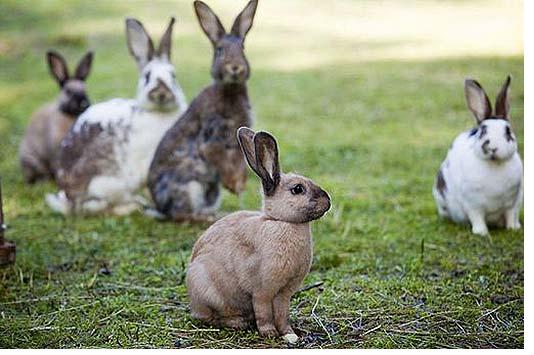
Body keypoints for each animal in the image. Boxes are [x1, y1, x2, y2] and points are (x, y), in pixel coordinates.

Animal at [46, 18, 188, 216]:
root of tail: (68, 199)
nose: (161, 93)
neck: (159, 113)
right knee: (98, 207)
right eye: (147, 77)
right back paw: (132, 206)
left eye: (173, 76)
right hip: (106, 185)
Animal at [149, 0, 260, 222]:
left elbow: (240, 163)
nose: (235, 67)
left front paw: (239, 185)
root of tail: (160, 208)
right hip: (189, 188)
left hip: (211, 191)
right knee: (181, 215)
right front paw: (233, 185)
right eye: (220, 50)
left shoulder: (238, 143)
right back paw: (208, 218)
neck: (230, 90)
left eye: (243, 48)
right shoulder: (212, 138)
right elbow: (216, 156)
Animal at [187, 127, 330, 342]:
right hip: (208, 291)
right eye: (298, 189)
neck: (281, 222)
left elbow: (282, 314)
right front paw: (269, 333)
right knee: (212, 317)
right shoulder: (262, 291)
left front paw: (289, 333)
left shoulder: (284, 294)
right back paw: (239, 322)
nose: (328, 201)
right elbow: (264, 313)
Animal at [436, 76, 524, 235]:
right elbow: (477, 218)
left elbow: (511, 215)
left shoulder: (514, 202)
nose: (493, 147)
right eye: (482, 131)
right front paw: (481, 233)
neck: (494, 164)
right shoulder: (472, 204)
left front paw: (513, 228)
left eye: (508, 131)